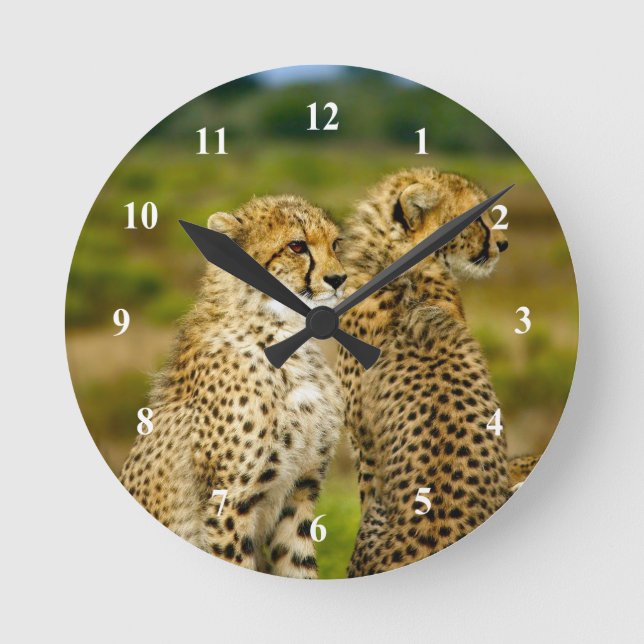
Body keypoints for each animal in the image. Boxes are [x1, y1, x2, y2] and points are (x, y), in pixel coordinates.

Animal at [120, 194, 347, 579]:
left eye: (336, 244)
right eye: (297, 246)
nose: (338, 278)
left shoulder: (300, 492)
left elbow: (299, 566)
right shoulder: (228, 503)